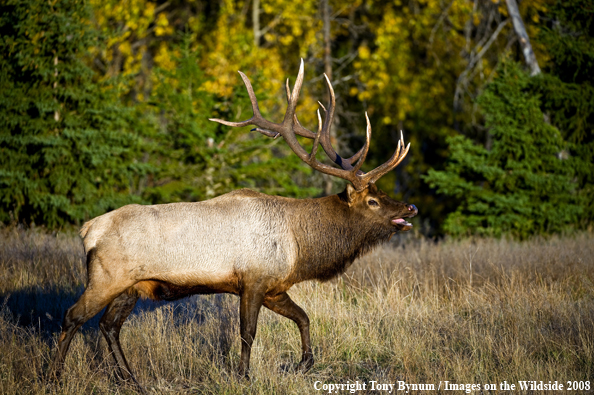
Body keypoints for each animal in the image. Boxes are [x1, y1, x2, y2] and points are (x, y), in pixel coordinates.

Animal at [47, 60, 416, 392]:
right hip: (107, 278)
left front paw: (304, 363)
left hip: (131, 286)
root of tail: (87, 230)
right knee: (73, 317)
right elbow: (248, 333)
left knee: (108, 326)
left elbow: (303, 317)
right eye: (373, 201)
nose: (409, 206)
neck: (300, 246)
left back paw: (131, 380)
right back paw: (55, 378)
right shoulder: (252, 281)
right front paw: (244, 376)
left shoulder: (274, 286)